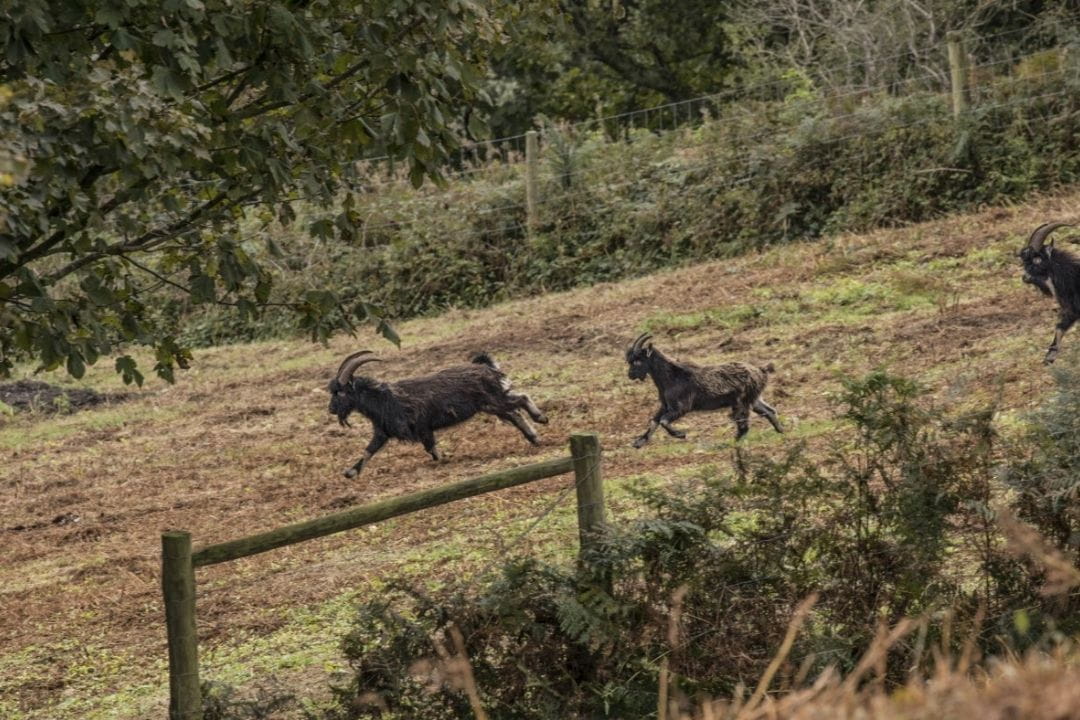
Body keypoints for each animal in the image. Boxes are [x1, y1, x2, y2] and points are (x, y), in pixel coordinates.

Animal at [328, 350, 548, 477]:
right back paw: (534, 438)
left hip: (493, 400)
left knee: (521, 400)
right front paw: (350, 473)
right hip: (491, 405)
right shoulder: (383, 432)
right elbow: (368, 450)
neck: (384, 399)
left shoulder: (422, 426)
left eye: (341, 392)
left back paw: (541, 419)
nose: (331, 409)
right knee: (515, 413)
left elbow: (431, 448)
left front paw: (443, 461)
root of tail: (485, 367)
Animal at [624, 333, 782, 447]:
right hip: (754, 398)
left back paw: (732, 443)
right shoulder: (665, 406)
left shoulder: (681, 407)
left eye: (638, 360)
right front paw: (639, 442)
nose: (630, 375)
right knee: (769, 411)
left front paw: (680, 435)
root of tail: (761, 371)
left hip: (741, 402)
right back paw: (781, 431)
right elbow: (654, 421)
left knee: (744, 425)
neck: (671, 377)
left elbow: (663, 421)